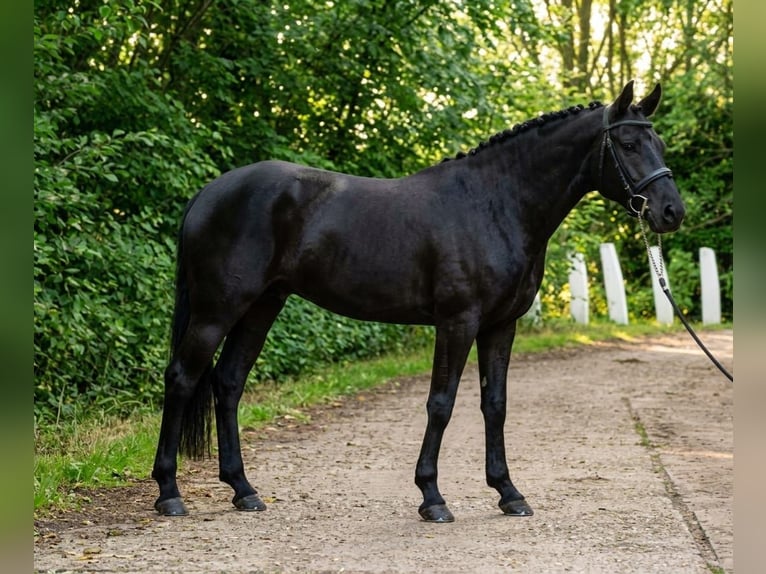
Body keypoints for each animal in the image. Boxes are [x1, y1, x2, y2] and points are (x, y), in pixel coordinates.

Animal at [152, 81, 684, 522]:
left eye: (658, 143)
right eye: (628, 144)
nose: (671, 211)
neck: (496, 203)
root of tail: (208, 192)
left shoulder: (501, 325)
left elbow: (495, 404)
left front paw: (508, 493)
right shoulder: (457, 322)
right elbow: (441, 404)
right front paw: (432, 497)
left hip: (263, 305)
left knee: (228, 383)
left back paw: (243, 490)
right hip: (217, 309)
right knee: (182, 378)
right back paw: (169, 492)